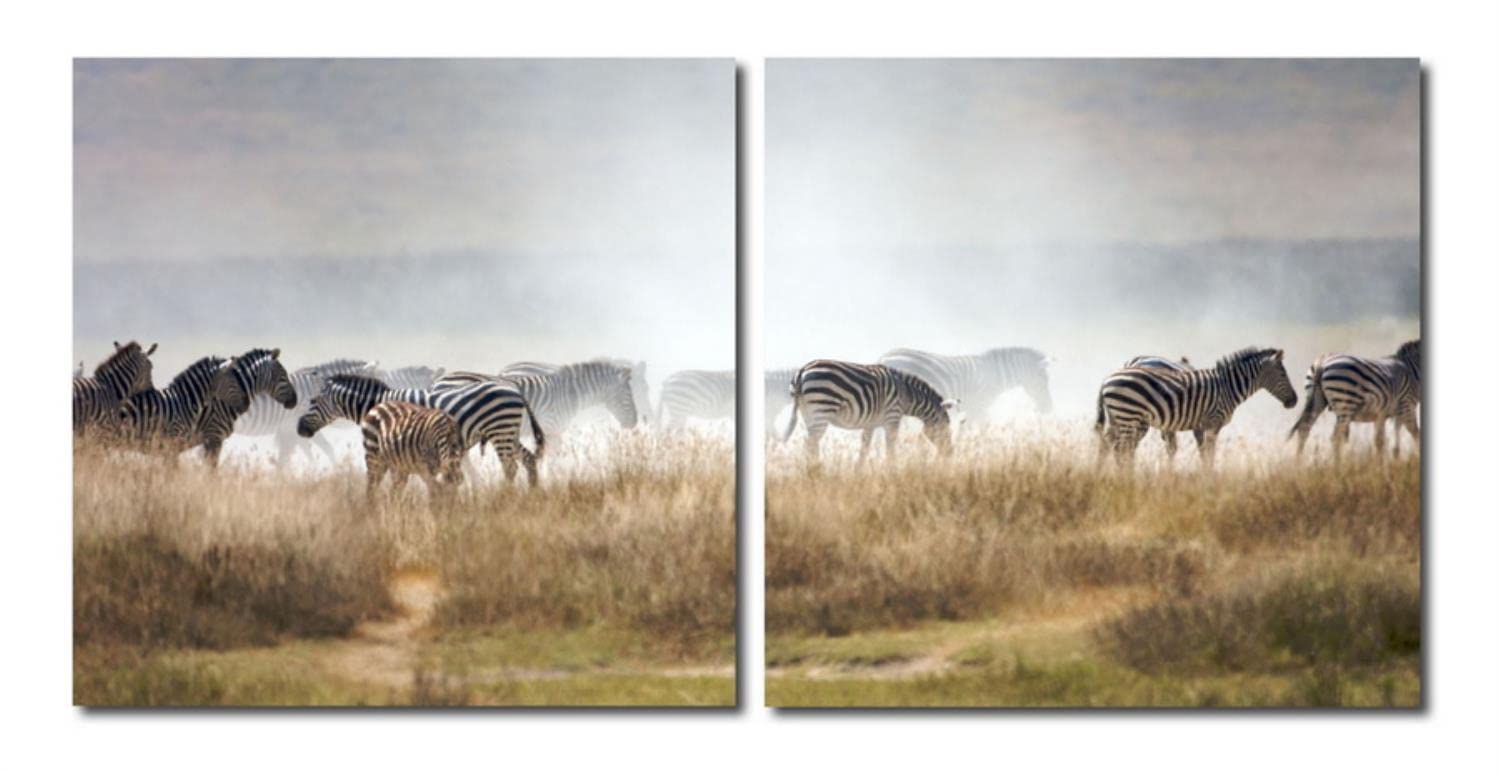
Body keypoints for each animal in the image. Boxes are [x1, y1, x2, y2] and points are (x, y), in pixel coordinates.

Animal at [298, 374, 546, 485]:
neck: (378, 403)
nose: (300, 429)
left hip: (500, 430)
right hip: (508, 432)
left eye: (312, 401)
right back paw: (530, 497)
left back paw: (506, 498)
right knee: (528, 460)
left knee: (511, 467)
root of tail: (515, 390)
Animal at [782, 359, 957, 462]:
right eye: (946, 426)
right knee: (810, 443)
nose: (950, 453)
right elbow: (890, 449)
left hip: (808, 413)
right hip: (822, 408)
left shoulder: (870, 423)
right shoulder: (892, 418)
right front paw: (892, 473)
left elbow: (864, 449)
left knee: (811, 443)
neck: (906, 394)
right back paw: (816, 473)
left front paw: (858, 474)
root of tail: (802, 371)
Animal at [879, 347, 1053, 421]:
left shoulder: (974, 408)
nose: (1047, 408)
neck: (996, 375)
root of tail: (884, 356)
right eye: (1043, 380)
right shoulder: (978, 407)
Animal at [1095, 347, 1297, 468]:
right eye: (1283, 374)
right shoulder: (1213, 423)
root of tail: (1106, 379)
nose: (1294, 401)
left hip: (1117, 418)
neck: (1227, 387)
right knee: (1121, 449)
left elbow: (1204, 454)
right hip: (1130, 417)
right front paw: (1209, 480)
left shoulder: (1201, 426)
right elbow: (1209, 454)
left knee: (1108, 446)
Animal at [1289, 339, 1420, 460]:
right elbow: (1415, 433)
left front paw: (1383, 463)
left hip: (1317, 400)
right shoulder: (1406, 405)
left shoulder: (1382, 414)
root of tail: (1322, 362)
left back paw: (1298, 462)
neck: (1412, 371)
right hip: (1346, 404)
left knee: (1304, 430)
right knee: (1335, 438)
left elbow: (1380, 441)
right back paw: (1337, 467)